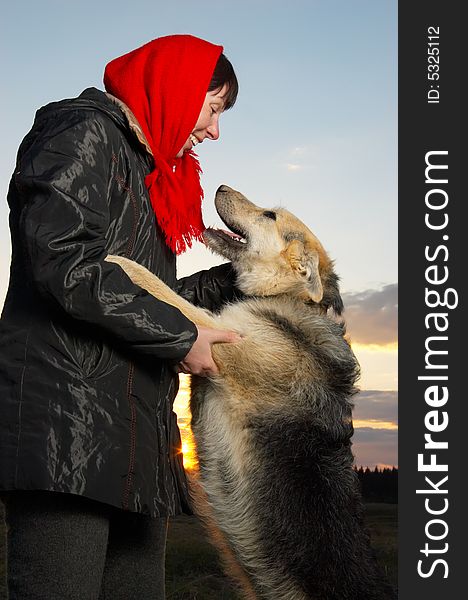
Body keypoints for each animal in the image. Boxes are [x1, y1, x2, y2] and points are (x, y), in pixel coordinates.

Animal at [105, 185, 394, 596]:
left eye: (269, 215)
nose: (221, 186)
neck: (288, 297)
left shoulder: (218, 334)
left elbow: (162, 291)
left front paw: (119, 262)